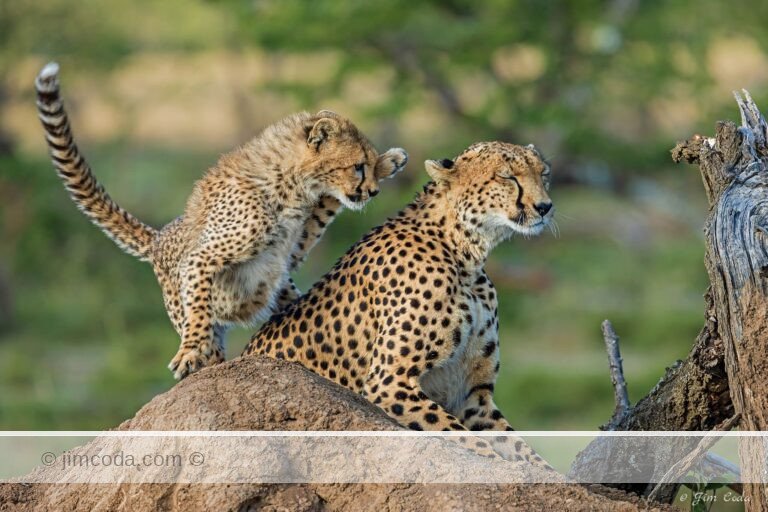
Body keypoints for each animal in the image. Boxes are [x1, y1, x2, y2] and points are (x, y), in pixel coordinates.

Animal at [34, 62, 408, 380]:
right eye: (357, 166)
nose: (372, 191)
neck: (291, 180)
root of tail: (160, 235)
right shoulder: (203, 258)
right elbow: (200, 308)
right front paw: (189, 351)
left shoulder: (294, 245)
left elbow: (328, 206)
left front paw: (392, 160)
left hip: (283, 291)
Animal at [243, 141, 555, 464]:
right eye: (507, 176)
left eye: (543, 173)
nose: (545, 207)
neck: (463, 252)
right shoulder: (388, 383)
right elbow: (472, 445)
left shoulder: (472, 394)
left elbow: (522, 453)